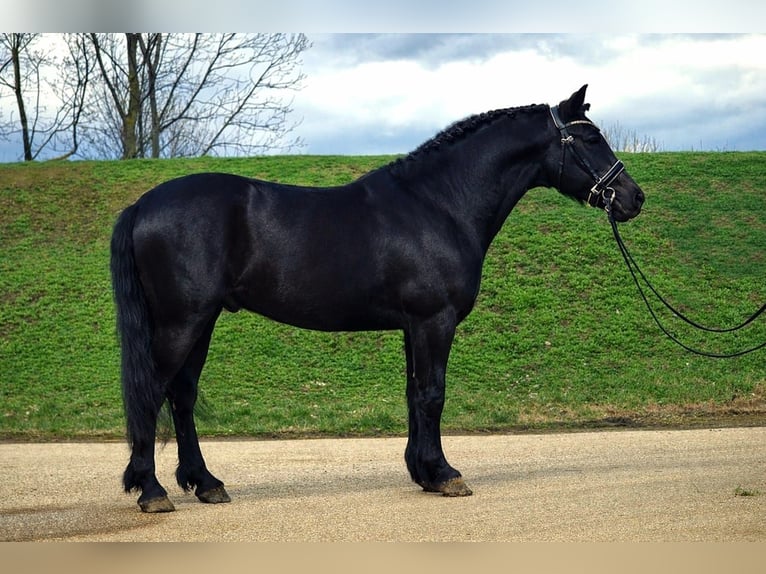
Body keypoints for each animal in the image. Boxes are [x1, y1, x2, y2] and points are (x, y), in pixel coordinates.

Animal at [110, 85, 644, 512]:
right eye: (591, 139)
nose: (633, 197)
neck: (439, 204)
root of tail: (142, 205)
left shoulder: (414, 326)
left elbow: (414, 393)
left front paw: (423, 472)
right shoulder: (434, 321)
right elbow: (432, 394)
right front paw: (445, 475)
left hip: (201, 321)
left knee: (181, 395)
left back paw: (205, 484)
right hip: (182, 321)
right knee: (152, 391)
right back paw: (152, 491)